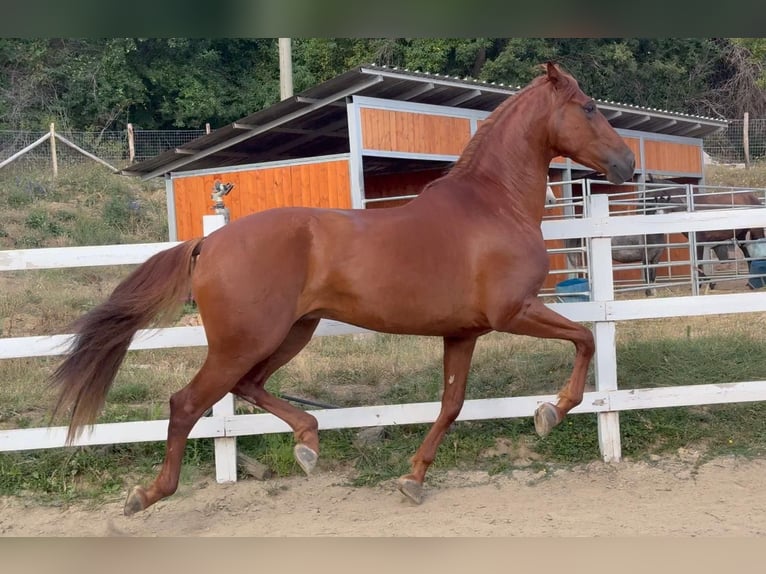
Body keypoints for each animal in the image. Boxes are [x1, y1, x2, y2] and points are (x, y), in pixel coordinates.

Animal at [49, 62, 635, 516]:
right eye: (587, 107)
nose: (627, 163)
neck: (493, 205)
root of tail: (208, 244)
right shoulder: (513, 311)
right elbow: (585, 338)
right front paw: (550, 413)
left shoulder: (462, 333)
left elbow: (451, 405)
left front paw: (413, 479)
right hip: (246, 341)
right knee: (187, 403)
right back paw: (147, 496)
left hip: (290, 334)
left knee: (248, 387)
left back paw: (308, 444)